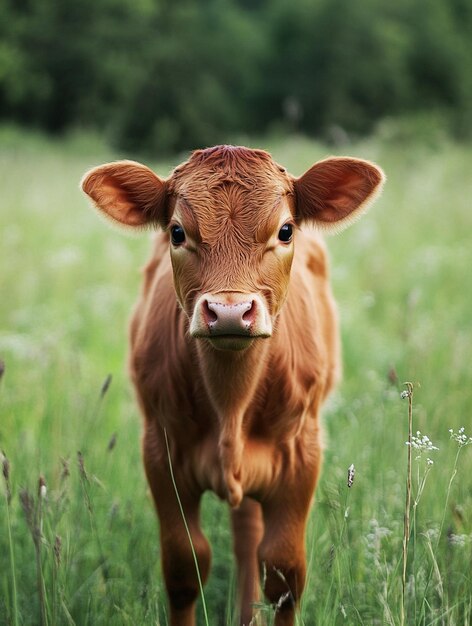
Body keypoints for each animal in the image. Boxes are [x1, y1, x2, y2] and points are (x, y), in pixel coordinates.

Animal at [81, 144, 384, 620]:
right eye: (177, 232)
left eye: (285, 230)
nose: (228, 312)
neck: (230, 403)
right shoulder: (161, 451)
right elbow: (184, 565)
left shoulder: (303, 452)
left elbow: (283, 573)